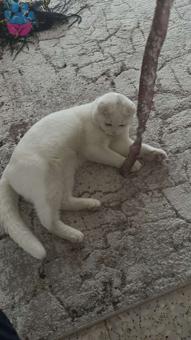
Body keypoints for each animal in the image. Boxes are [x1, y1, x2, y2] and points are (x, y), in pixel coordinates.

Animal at [0, 91, 167, 258]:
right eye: (108, 124)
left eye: (121, 125)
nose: (113, 132)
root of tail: (7, 170)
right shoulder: (95, 149)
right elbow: (115, 157)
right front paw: (133, 165)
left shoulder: (120, 142)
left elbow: (140, 148)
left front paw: (156, 153)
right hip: (48, 182)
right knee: (48, 221)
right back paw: (74, 235)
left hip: (66, 172)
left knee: (64, 202)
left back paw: (91, 205)